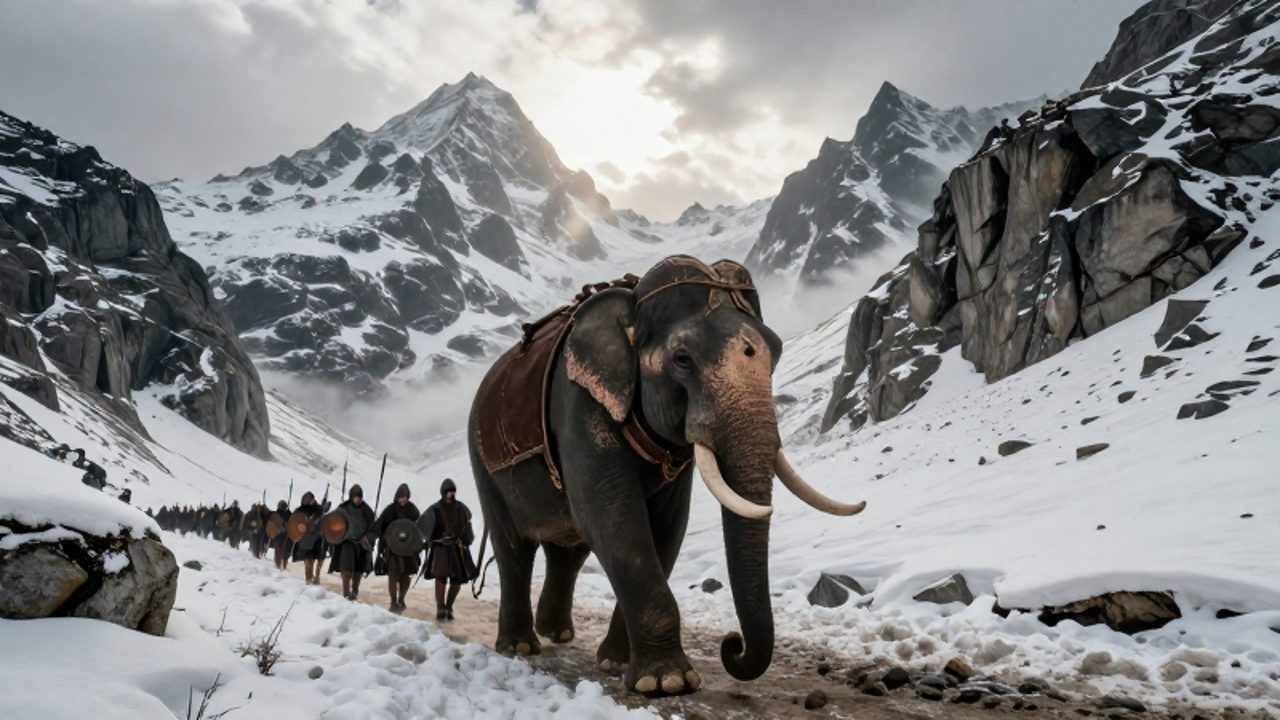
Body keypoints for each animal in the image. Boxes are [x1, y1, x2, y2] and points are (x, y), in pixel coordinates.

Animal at [467, 255, 863, 695]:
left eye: (775, 353)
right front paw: (667, 682)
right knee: (514, 547)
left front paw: (619, 663)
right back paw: (520, 646)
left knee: (568, 550)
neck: (633, 305)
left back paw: (558, 633)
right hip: (483, 459)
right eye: (683, 359)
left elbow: (667, 528)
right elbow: (615, 520)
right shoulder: (578, 404)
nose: (732, 644)